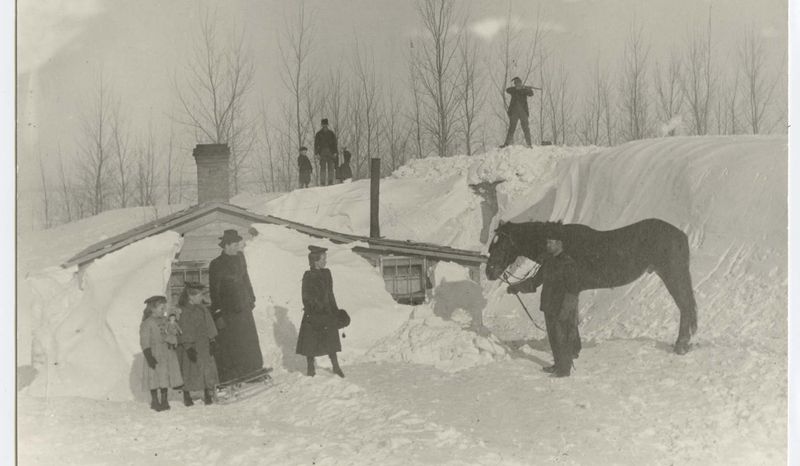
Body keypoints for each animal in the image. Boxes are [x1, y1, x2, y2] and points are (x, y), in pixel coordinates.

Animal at [484, 218, 696, 354]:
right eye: (491, 245)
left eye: (501, 245)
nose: (489, 272)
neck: (562, 245)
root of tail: (681, 234)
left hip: (673, 276)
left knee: (685, 307)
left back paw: (681, 345)